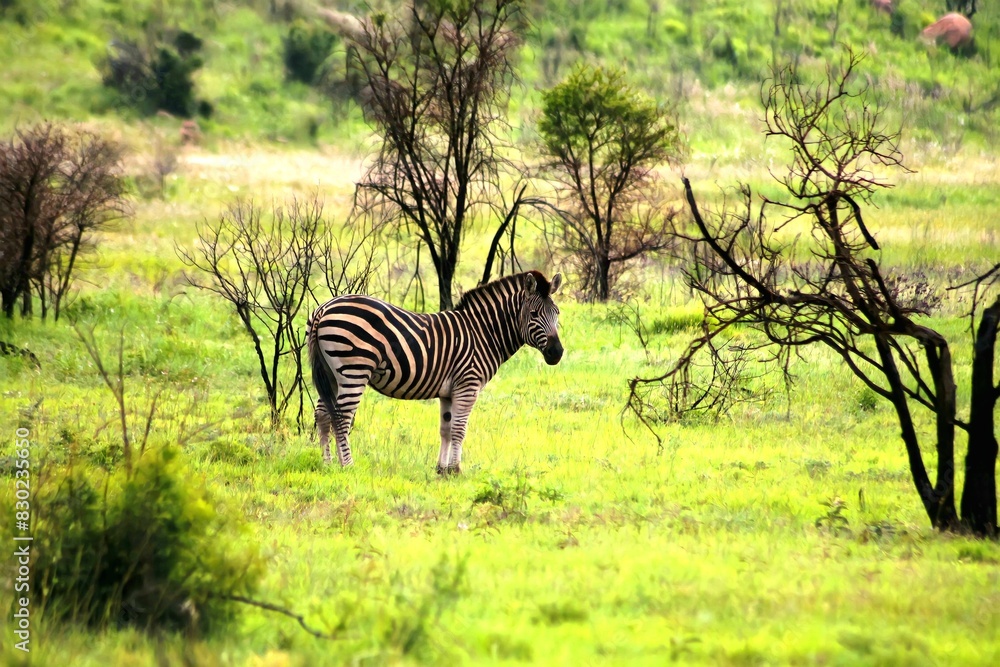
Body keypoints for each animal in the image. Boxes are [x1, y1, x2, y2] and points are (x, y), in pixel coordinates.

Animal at [307, 270, 564, 473]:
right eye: (534, 315)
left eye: (557, 313)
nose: (557, 353)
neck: (483, 333)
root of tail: (324, 308)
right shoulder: (468, 385)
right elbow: (459, 429)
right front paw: (456, 470)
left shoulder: (448, 392)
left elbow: (446, 429)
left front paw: (442, 469)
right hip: (354, 370)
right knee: (342, 416)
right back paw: (347, 466)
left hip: (331, 373)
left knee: (322, 414)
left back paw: (327, 464)